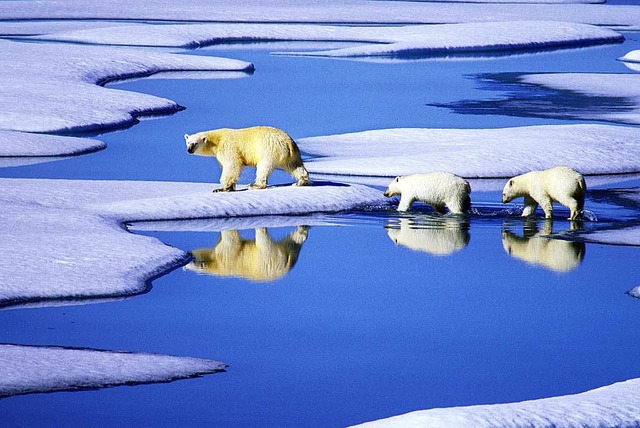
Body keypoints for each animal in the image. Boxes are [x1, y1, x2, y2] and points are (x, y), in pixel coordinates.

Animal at [182, 226, 310, 282]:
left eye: (192, 261)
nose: (188, 252)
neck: (217, 265)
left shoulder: (226, 256)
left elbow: (231, 241)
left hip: (267, 259)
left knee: (263, 241)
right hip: (288, 253)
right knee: (293, 242)